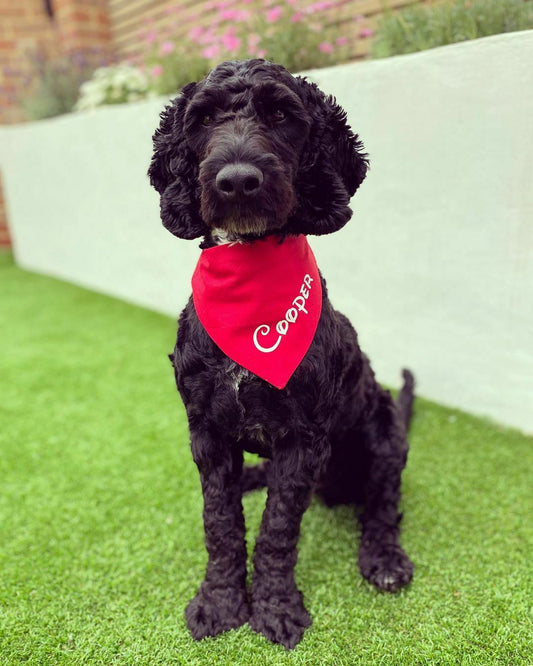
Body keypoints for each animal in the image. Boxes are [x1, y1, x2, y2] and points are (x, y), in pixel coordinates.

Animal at [148, 58, 414, 648]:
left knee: (383, 506)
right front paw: (220, 603)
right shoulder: (207, 432)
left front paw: (275, 609)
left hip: (386, 433)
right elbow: (221, 525)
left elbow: (277, 531)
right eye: (203, 119)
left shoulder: (302, 439)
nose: (238, 180)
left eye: (281, 115)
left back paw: (384, 558)